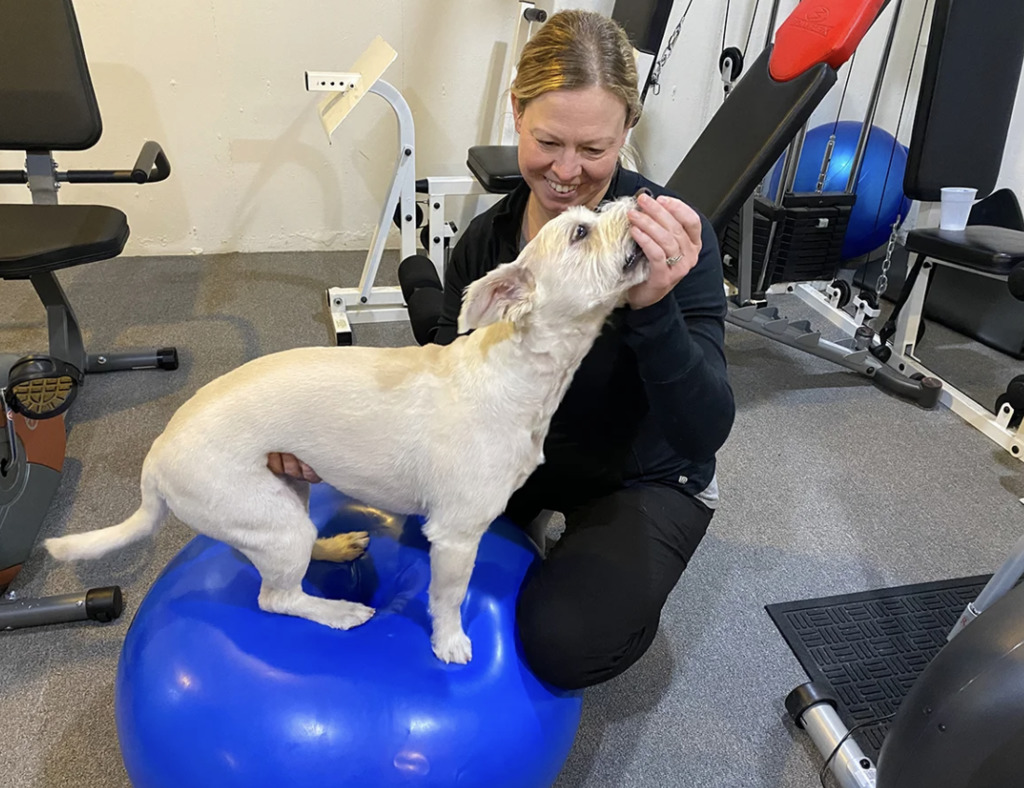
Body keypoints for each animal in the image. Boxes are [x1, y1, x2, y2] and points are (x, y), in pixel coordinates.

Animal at [44, 194, 650, 665]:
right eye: (580, 232)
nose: (642, 200)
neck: (517, 365)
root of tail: (155, 460)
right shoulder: (456, 536)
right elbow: (449, 598)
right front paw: (449, 642)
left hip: (285, 497)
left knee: (294, 557)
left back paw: (335, 548)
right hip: (268, 519)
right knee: (277, 599)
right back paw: (339, 611)